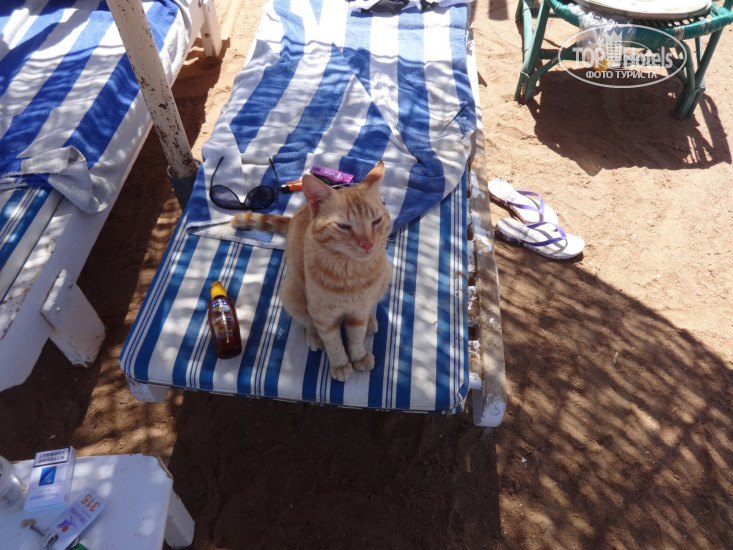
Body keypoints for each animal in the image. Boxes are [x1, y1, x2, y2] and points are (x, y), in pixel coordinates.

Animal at [231, 160, 392, 382]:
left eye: (376, 221)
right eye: (344, 226)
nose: (368, 244)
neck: (351, 273)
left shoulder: (358, 309)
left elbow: (356, 336)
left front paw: (358, 356)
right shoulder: (323, 315)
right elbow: (333, 341)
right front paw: (340, 363)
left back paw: (370, 321)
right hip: (290, 291)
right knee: (306, 320)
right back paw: (314, 336)